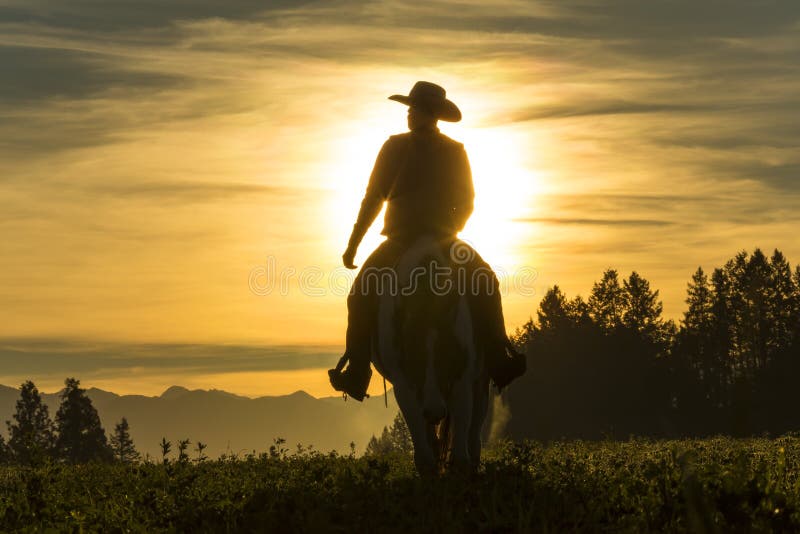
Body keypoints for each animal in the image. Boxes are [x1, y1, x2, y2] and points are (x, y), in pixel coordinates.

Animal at [370, 237, 494, 476]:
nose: (435, 411)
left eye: (448, 349)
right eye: (410, 351)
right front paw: (430, 470)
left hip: (481, 380)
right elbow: (419, 433)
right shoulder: (403, 382)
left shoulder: (463, 378)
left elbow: (462, 439)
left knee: (475, 428)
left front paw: (459, 470)